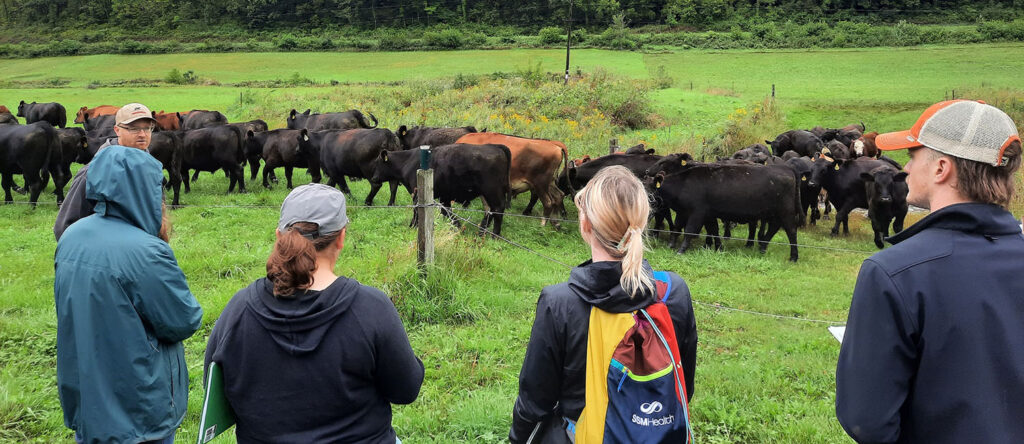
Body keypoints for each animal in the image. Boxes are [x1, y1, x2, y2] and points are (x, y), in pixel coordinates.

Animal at [370, 145, 509, 236]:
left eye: (378, 163)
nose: (374, 178)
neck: (408, 162)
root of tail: (497, 148)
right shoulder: (444, 196)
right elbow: (446, 211)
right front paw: (457, 226)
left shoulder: (417, 195)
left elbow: (417, 212)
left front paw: (413, 227)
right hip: (485, 194)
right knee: (489, 210)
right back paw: (481, 232)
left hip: (492, 191)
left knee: (498, 209)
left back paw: (495, 235)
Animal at [647, 162, 798, 259]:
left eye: (648, 191)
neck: (684, 183)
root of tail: (785, 168)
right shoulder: (696, 213)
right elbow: (708, 229)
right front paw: (719, 248)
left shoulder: (697, 213)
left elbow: (689, 231)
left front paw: (681, 250)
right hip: (775, 212)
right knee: (774, 227)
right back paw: (762, 248)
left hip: (786, 210)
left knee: (791, 231)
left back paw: (794, 256)